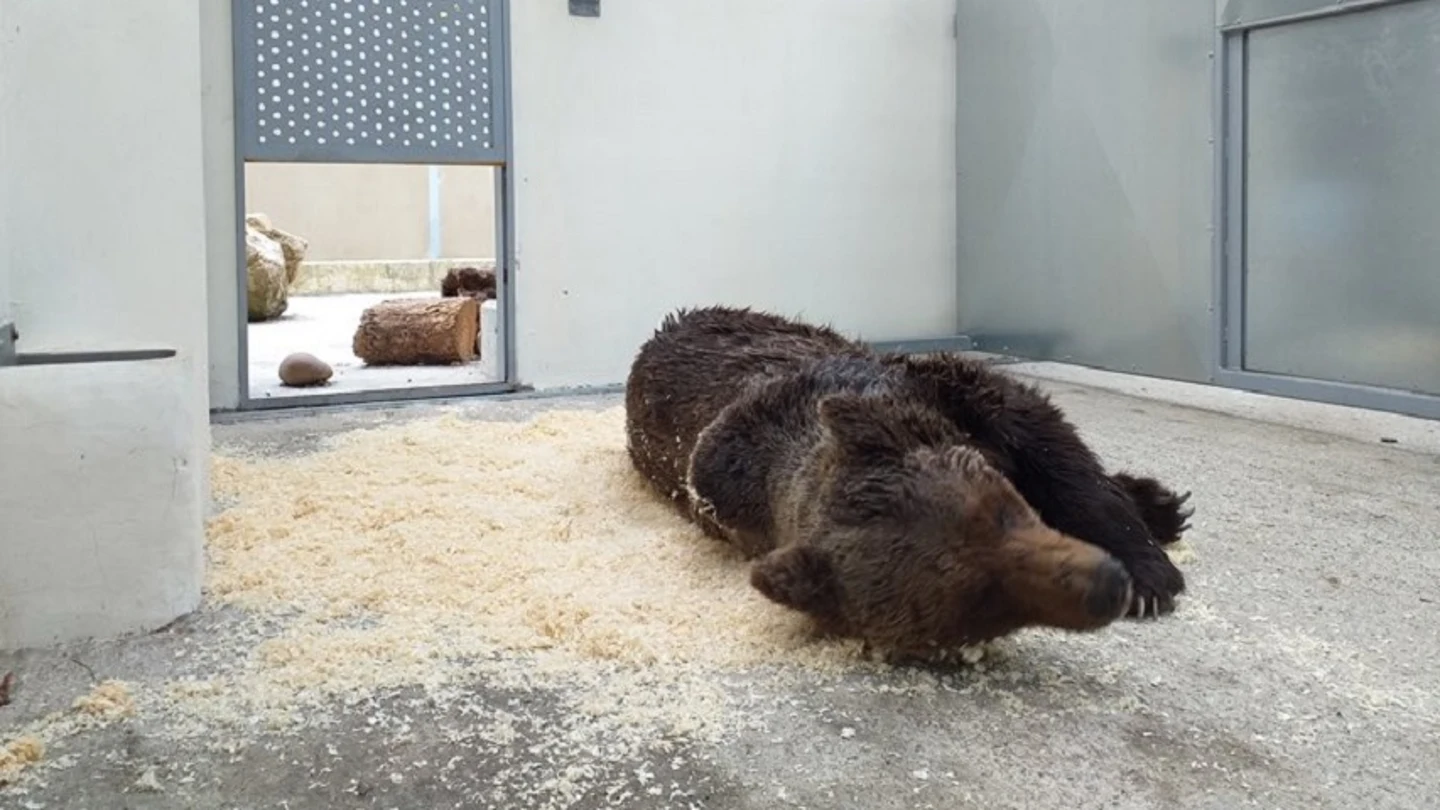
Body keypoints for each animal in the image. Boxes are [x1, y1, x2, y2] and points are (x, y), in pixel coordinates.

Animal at [625, 308, 1152, 656]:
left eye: (1002, 511)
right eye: (981, 605)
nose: (1108, 585)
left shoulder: (944, 389)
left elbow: (1051, 444)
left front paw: (1152, 573)